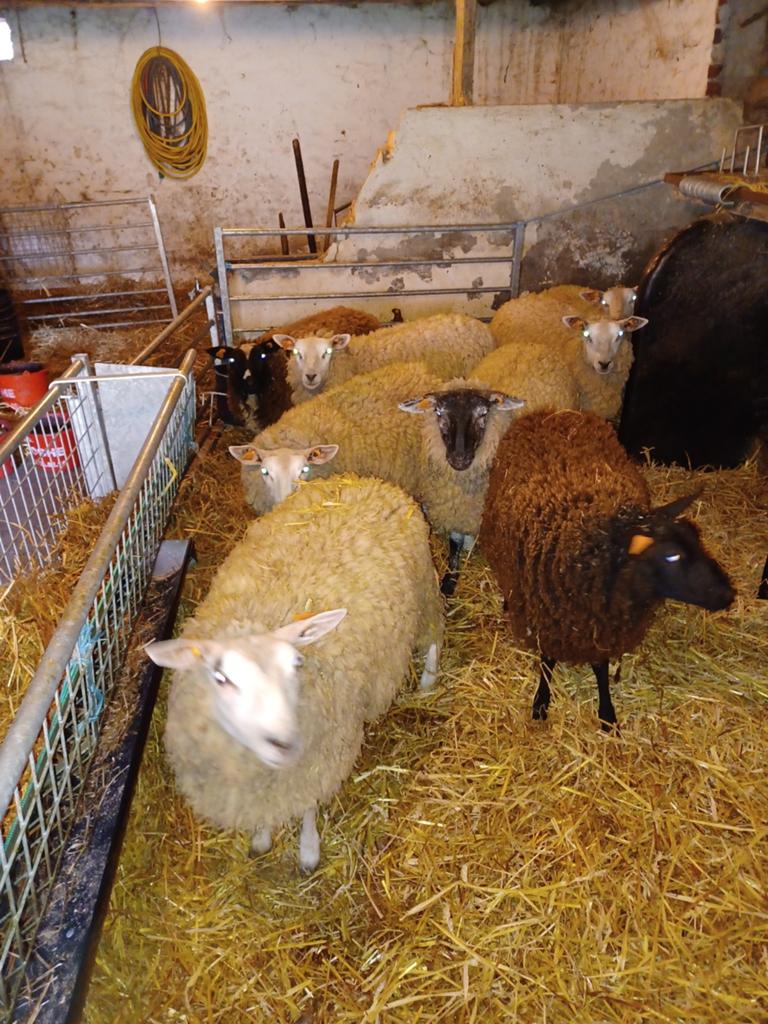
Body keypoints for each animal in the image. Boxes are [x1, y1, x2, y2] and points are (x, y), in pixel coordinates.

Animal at [144, 474, 444, 873]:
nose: (284, 743)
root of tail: (364, 481)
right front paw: (261, 837)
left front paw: (308, 849)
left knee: (434, 635)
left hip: (425, 591)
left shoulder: (319, 762)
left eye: (295, 665)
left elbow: (307, 808)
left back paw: (428, 679)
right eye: (221, 678)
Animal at [480, 409, 735, 728]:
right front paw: (541, 702)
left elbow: (601, 668)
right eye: (671, 557)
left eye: (696, 539)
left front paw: (607, 714)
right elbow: (547, 662)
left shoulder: (598, 626)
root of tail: (554, 412)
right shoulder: (550, 619)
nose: (727, 595)